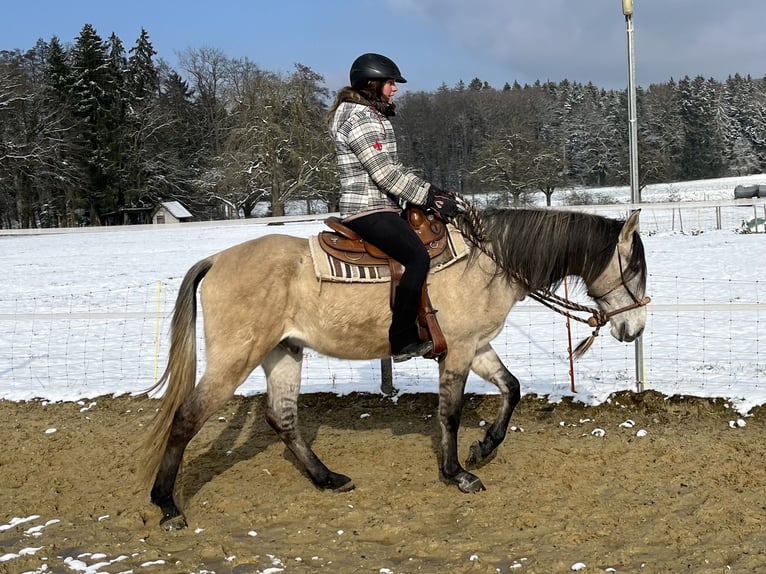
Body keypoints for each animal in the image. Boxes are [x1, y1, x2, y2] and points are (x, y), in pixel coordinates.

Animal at [141, 206, 652, 532]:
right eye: (634, 268)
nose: (635, 328)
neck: (486, 263)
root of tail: (216, 260)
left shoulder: (477, 346)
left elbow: (512, 387)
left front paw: (484, 447)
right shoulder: (459, 351)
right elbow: (450, 413)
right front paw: (457, 473)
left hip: (283, 352)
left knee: (281, 418)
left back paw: (327, 478)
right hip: (235, 358)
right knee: (186, 418)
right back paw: (167, 506)